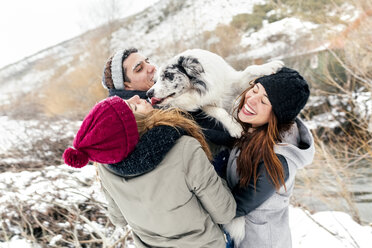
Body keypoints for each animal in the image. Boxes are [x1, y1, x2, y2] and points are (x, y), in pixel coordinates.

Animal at [147, 48, 284, 138]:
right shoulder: (202, 104)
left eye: (168, 75)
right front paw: (234, 127)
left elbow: (250, 69)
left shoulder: (231, 83)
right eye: (155, 80)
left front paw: (271, 66)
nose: (148, 94)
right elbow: (219, 111)